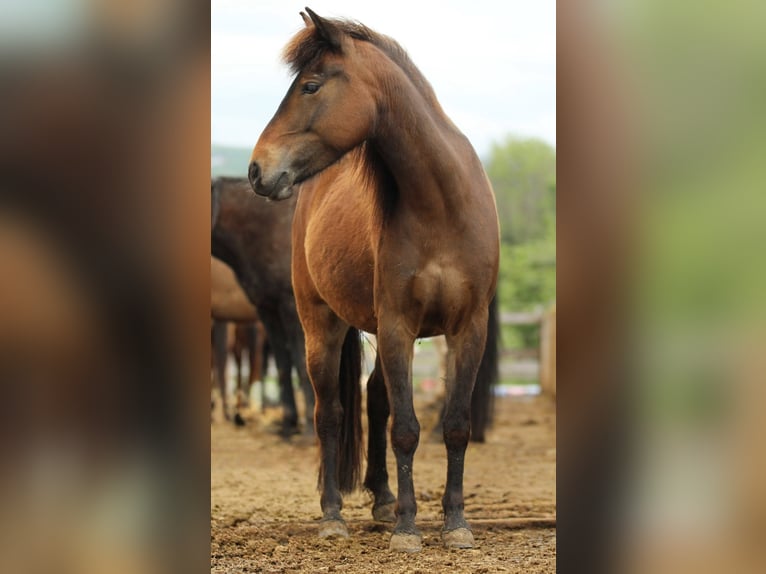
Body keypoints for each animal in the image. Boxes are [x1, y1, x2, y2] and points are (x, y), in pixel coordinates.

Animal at [211, 177, 315, 436]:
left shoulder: (291, 308)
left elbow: (300, 360)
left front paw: (309, 426)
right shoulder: (267, 310)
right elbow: (283, 364)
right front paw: (288, 422)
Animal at [247, 9, 500, 552]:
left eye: (311, 85)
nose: (257, 170)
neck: (441, 205)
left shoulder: (467, 327)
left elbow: (455, 425)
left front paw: (456, 524)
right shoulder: (399, 326)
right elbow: (406, 428)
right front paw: (408, 530)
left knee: (375, 400)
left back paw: (382, 500)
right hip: (322, 328)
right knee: (330, 414)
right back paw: (333, 515)